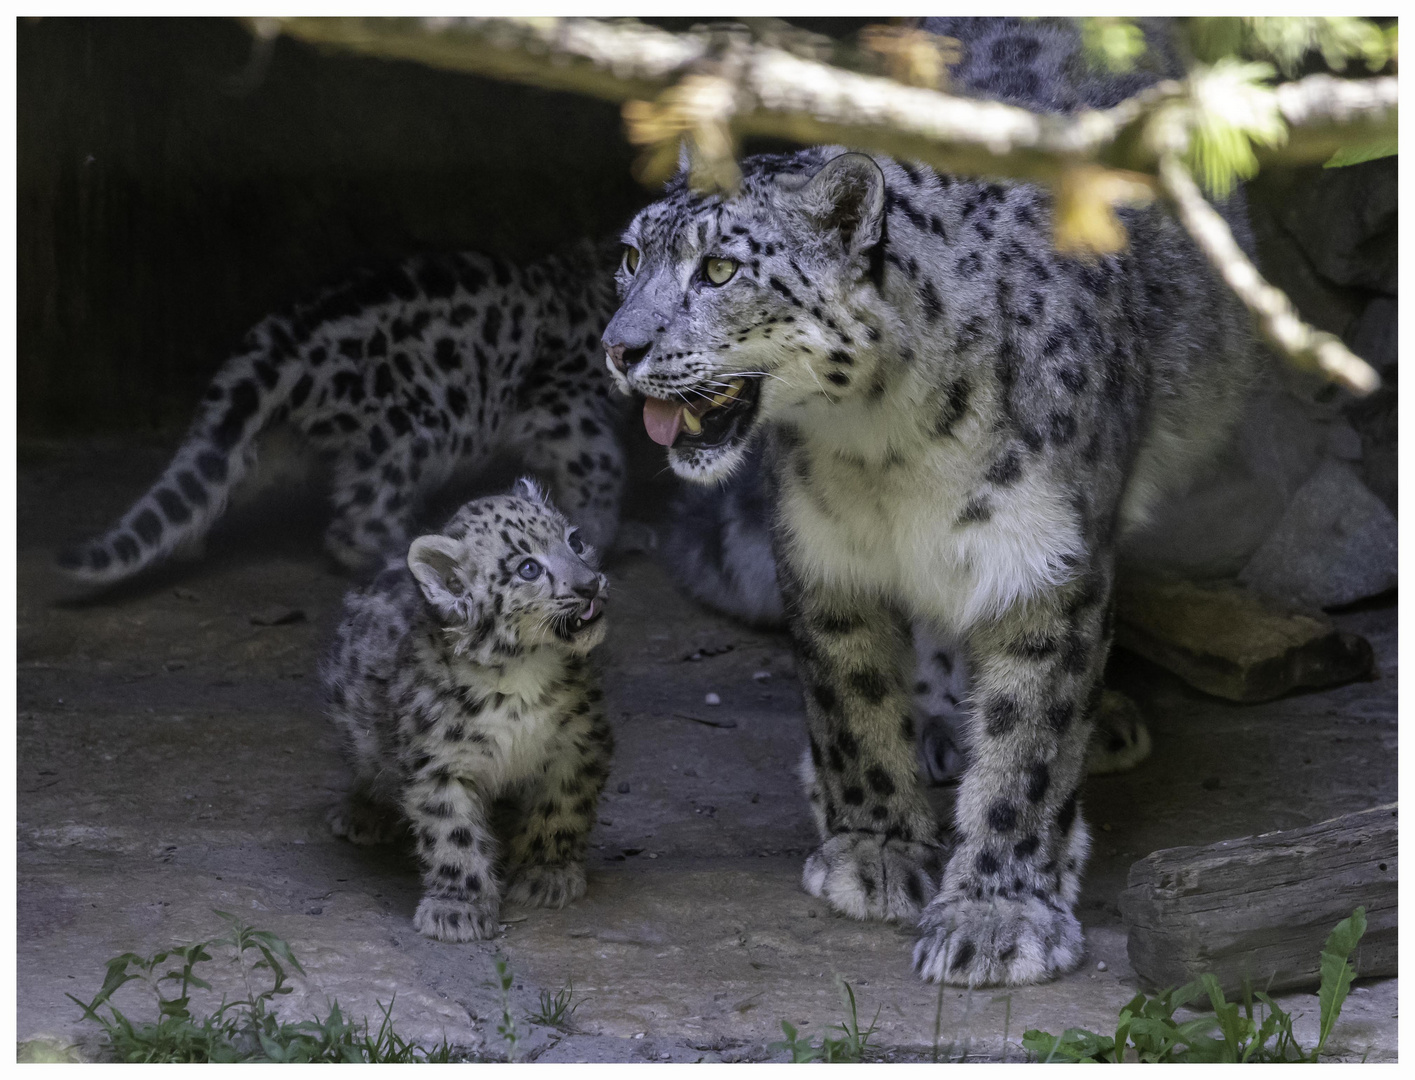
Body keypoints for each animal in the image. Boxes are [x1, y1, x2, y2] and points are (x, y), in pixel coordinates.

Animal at [56, 242, 625, 586]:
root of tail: (277, 342)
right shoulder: (568, 408)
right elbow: (602, 464)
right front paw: (598, 536)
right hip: (413, 429)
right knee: (356, 525)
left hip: (275, 442)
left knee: (213, 481)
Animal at [602, 116, 1256, 990]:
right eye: (630, 257)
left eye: (717, 269)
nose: (618, 348)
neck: (887, 443)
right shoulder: (821, 548)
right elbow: (850, 699)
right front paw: (874, 849)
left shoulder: (1046, 561)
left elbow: (1030, 740)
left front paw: (996, 914)